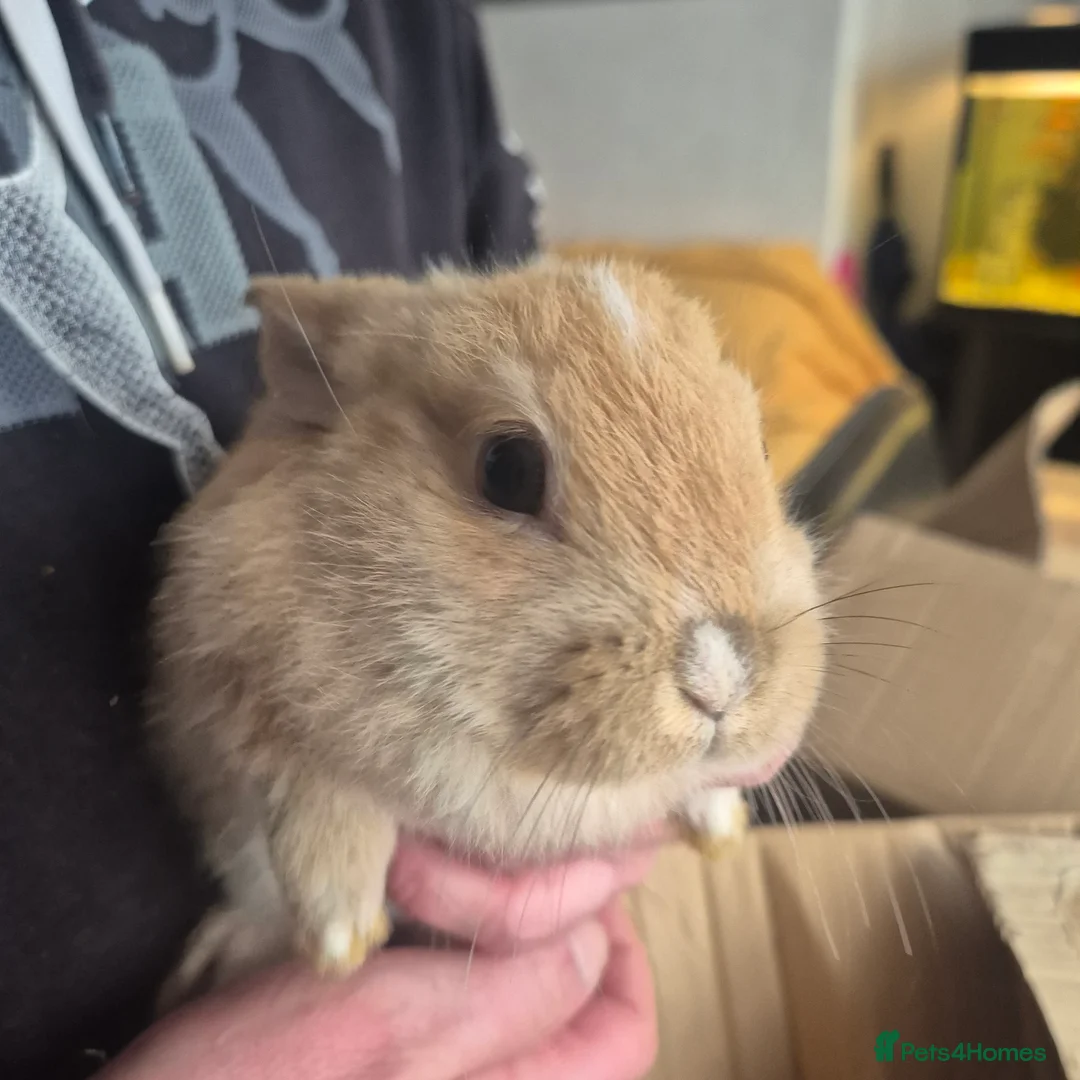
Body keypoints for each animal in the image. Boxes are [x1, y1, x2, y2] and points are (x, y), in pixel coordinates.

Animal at [149, 258, 825, 1006]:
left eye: (759, 445)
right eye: (509, 469)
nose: (722, 678)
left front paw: (721, 825)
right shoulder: (241, 695)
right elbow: (316, 800)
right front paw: (340, 939)